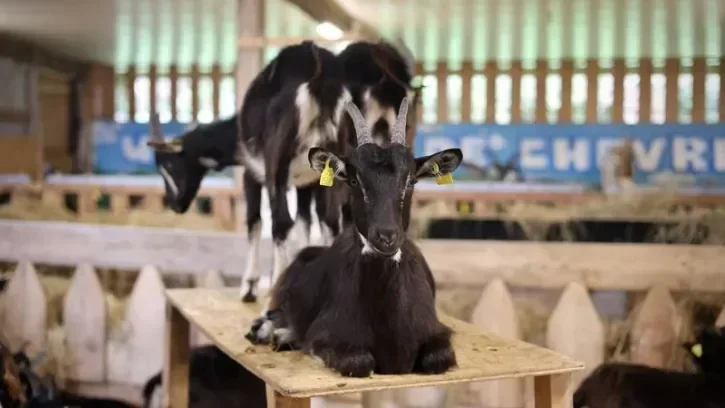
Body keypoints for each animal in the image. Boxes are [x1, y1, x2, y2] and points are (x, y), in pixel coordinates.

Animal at [246, 97, 462, 378]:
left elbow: (438, 358)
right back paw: (273, 333)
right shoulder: (326, 336)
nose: (386, 236)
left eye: (411, 181)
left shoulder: (438, 333)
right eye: (353, 180)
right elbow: (358, 362)